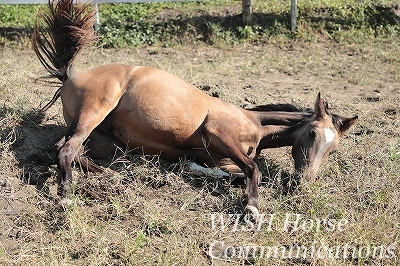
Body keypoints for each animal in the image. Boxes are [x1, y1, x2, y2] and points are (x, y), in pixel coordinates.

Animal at [30, 0, 356, 217]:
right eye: (312, 134)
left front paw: (194, 168)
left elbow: (236, 173)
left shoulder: (224, 159)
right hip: (93, 114)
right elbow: (254, 170)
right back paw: (66, 196)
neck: (256, 126)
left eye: (334, 149)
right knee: (66, 149)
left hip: (106, 141)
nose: (305, 181)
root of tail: (71, 75)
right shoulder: (218, 131)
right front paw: (252, 206)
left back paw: (113, 177)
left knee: (71, 150)